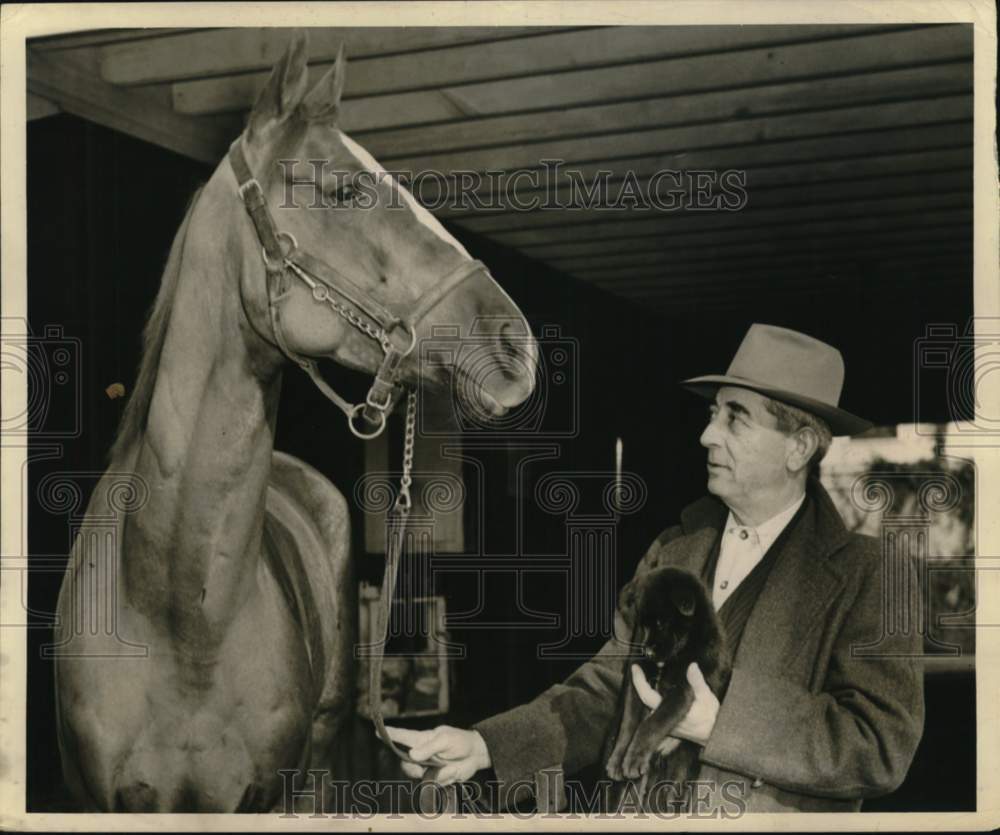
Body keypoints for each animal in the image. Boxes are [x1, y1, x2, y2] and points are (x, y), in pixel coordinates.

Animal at [604, 564, 732, 808]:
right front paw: (617, 759)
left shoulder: (683, 690)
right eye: (642, 625)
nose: (646, 652)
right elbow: (628, 723)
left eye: (662, 623)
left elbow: (652, 723)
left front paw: (634, 758)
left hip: (684, 761)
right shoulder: (636, 683)